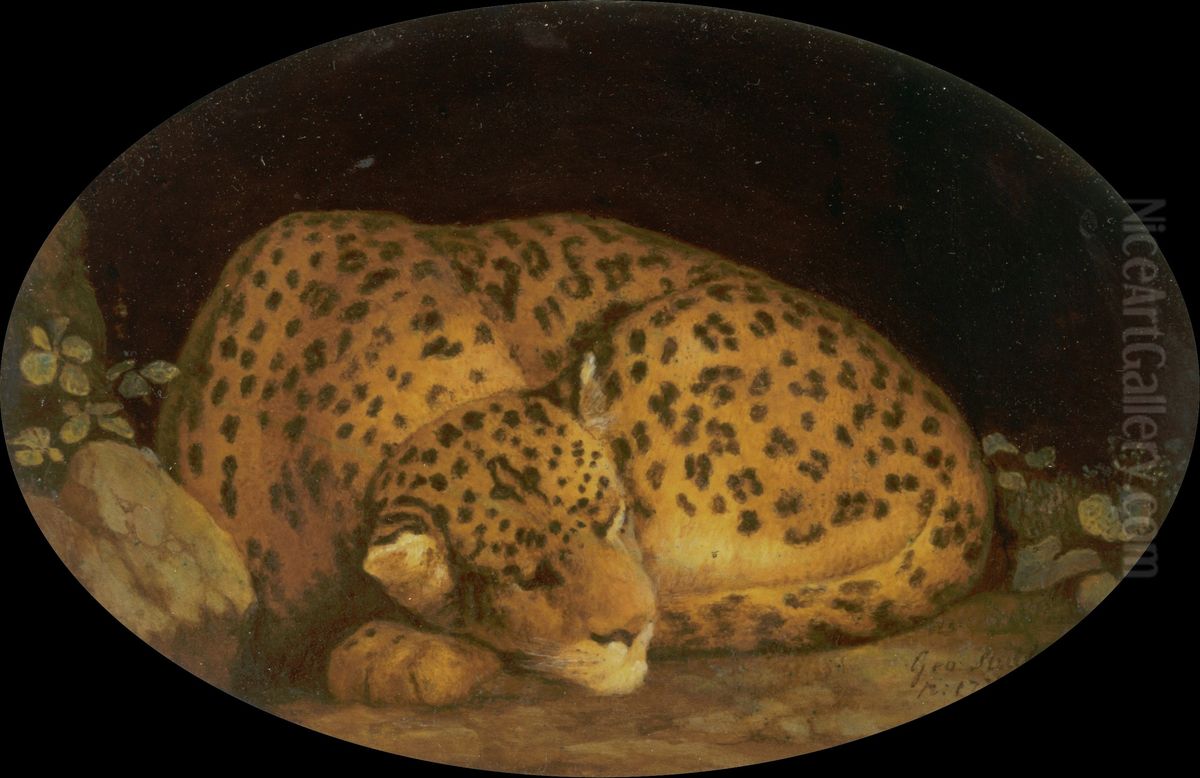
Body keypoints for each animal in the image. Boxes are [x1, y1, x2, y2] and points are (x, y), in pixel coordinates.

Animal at [157, 210, 992, 705]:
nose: (632, 628)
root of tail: (965, 458)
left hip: (658, 341)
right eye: (528, 576)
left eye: (614, 517)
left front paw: (402, 652)